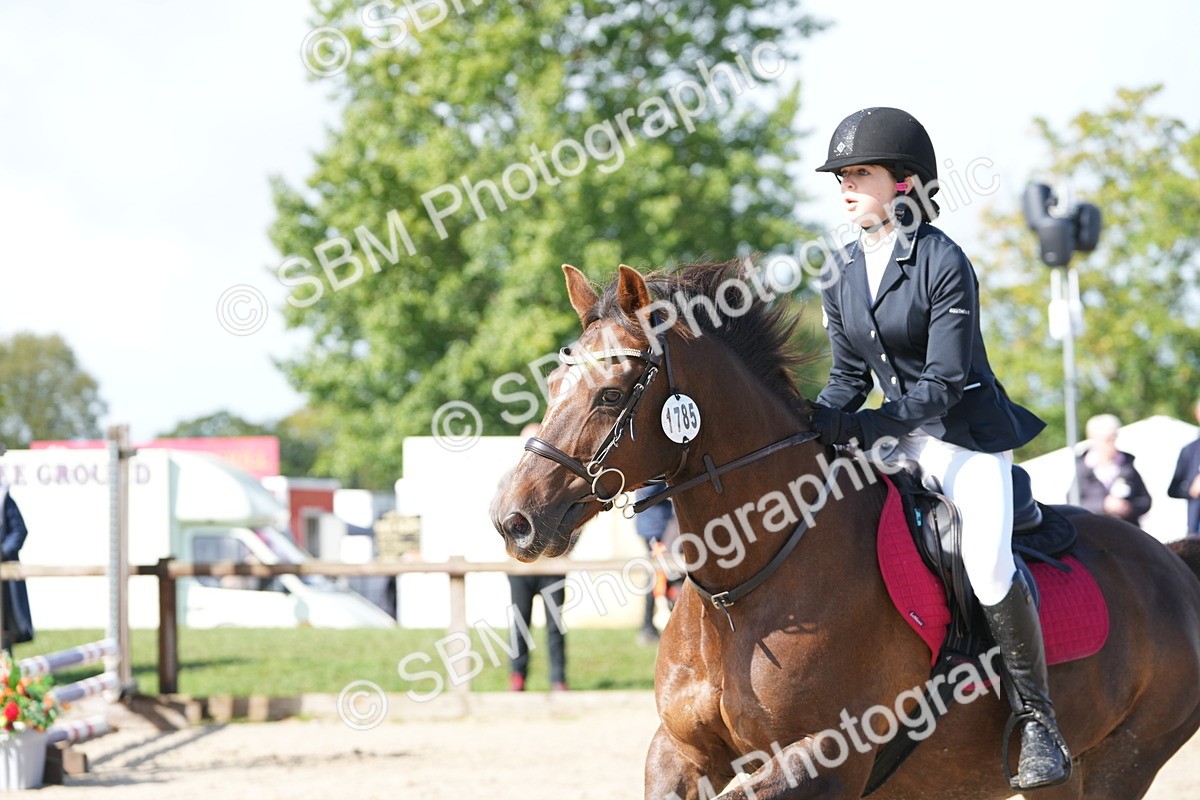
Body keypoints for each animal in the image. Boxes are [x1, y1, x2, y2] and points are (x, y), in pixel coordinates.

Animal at [489, 259, 1200, 799]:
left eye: (611, 394)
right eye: (551, 383)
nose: (514, 521)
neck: (742, 587)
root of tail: (1169, 561)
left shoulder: (825, 759)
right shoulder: (679, 752)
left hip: (1118, 763)